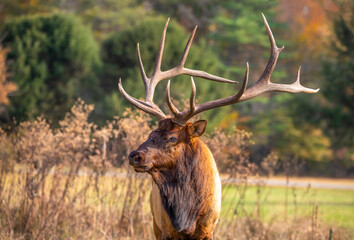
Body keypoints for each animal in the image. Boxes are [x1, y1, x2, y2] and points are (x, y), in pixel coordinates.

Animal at [117, 14, 320, 238]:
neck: (185, 218)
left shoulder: (208, 229)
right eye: (151, 132)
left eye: (172, 137)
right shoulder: (165, 229)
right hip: (155, 224)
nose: (135, 155)